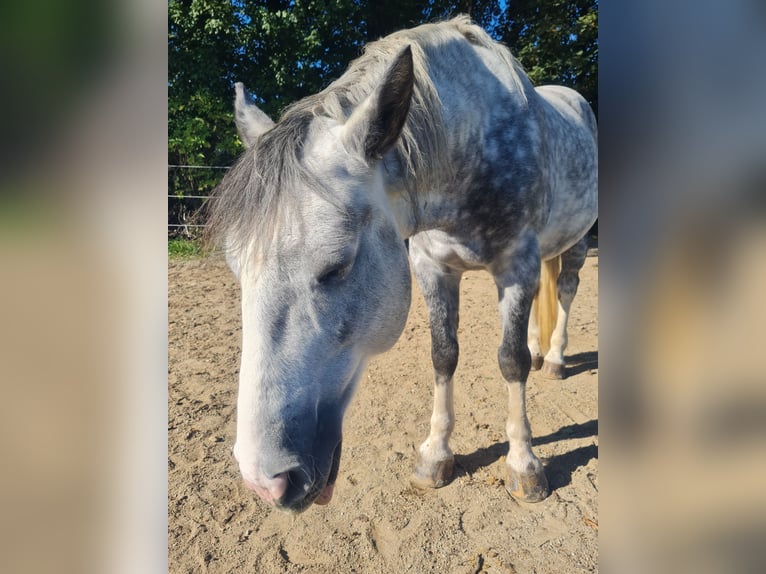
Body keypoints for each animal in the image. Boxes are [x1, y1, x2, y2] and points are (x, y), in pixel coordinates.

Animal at [210, 16, 600, 512]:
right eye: (235, 268)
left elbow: (509, 362)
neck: (471, 147)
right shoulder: (432, 268)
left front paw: (524, 463)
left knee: (565, 292)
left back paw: (553, 358)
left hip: (577, 243)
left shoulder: (516, 267)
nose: (266, 482)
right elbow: (443, 355)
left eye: (337, 265)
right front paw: (436, 455)